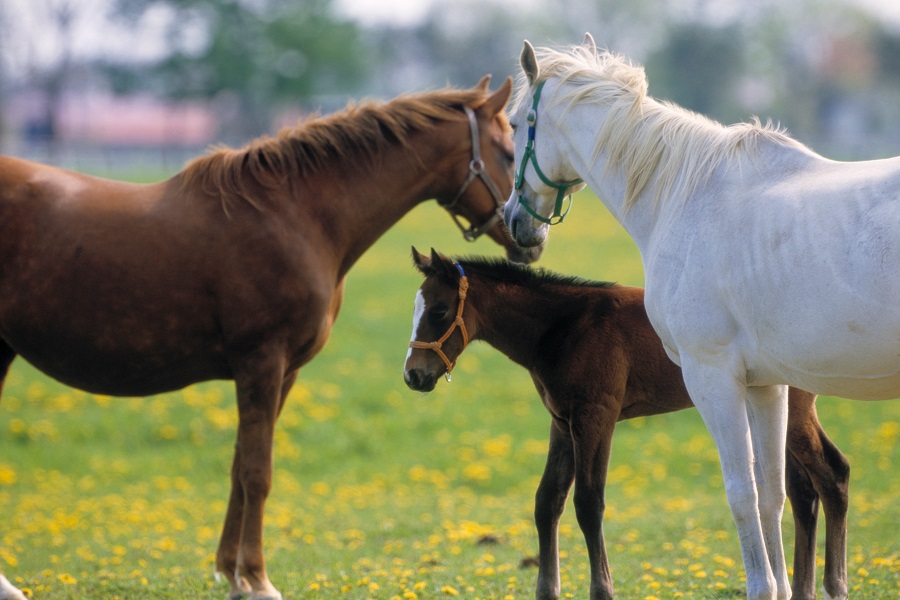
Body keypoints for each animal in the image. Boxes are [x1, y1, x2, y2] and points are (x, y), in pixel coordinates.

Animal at [0, 76, 536, 600]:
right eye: (508, 153)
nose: (531, 240)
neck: (295, 215)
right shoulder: (261, 361)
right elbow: (258, 472)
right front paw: (257, 579)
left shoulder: (284, 371)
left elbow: (240, 467)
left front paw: (230, 572)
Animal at [408, 248, 852, 600]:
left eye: (439, 311)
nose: (413, 375)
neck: (566, 326)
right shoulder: (562, 421)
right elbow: (547, 501)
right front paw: (547, 590)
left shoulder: (596, 417)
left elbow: (588, 503)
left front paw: (602, 589)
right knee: (804, 490)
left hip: (791, 409)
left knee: (833, 474)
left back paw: (835, 586)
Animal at [502, 34, 896, 600]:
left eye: (514, 124)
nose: (515, 223)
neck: (683, 195)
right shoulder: (765, 386)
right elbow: (771, 494)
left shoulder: (712, 377)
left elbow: (741, 494)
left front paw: (760, 585)